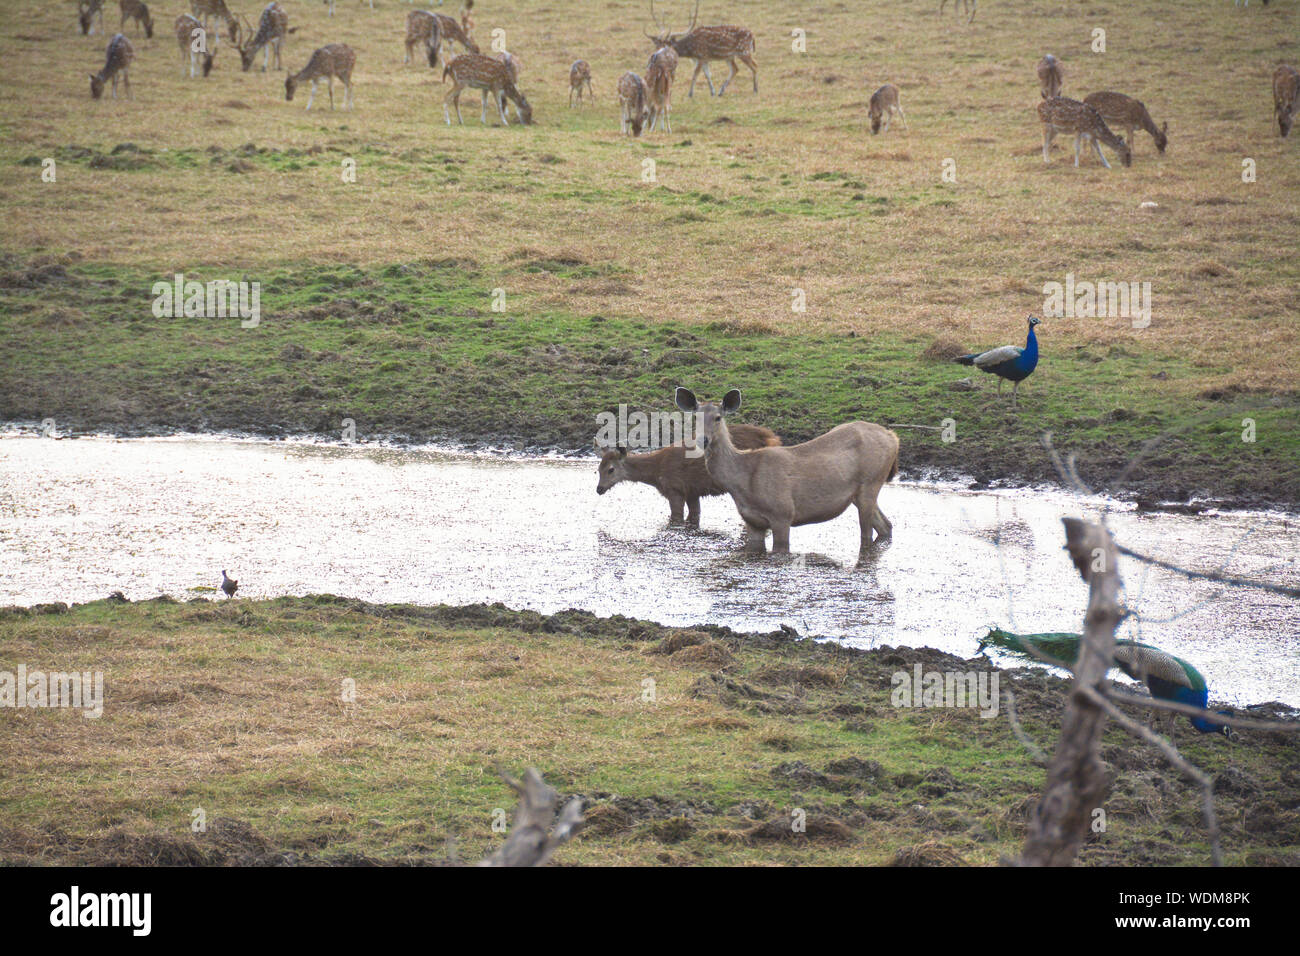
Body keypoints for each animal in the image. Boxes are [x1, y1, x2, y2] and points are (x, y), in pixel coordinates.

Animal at [596, 423, 780, 526]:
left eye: (611, 469)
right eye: (598, 468)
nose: (599, 489)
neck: (656, 474)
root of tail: (771, 438)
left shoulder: (675, 489)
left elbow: (676, 517)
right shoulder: (692, 491)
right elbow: (694, 515)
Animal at [674, 388, 899, 556]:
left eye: (718, 417)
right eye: (694, 417)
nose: (703, 440)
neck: (743, 480)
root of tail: (893, 437)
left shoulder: (782, 513)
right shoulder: (752, 521)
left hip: (871, 481)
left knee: (867, 533)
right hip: (859, 493)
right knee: (886, 525)